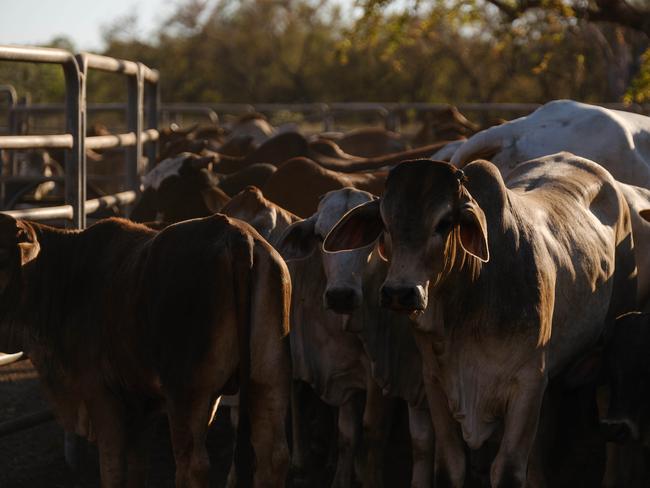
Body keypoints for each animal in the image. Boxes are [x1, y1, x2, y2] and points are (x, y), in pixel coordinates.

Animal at [0, 214, 290, 488]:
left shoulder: (100, 393)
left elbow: (113, 470)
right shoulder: (143, 405)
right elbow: (138, 468)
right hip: (267, 381)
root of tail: (238, 235)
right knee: (272, 458)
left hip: (186, 394)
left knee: (192, 466)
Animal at [322, 154, 636, 486]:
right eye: (385, 223)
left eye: (444, 223)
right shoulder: (436, 384)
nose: (400, 293)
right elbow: (451, 466)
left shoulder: (528, 382)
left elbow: (508, 470)